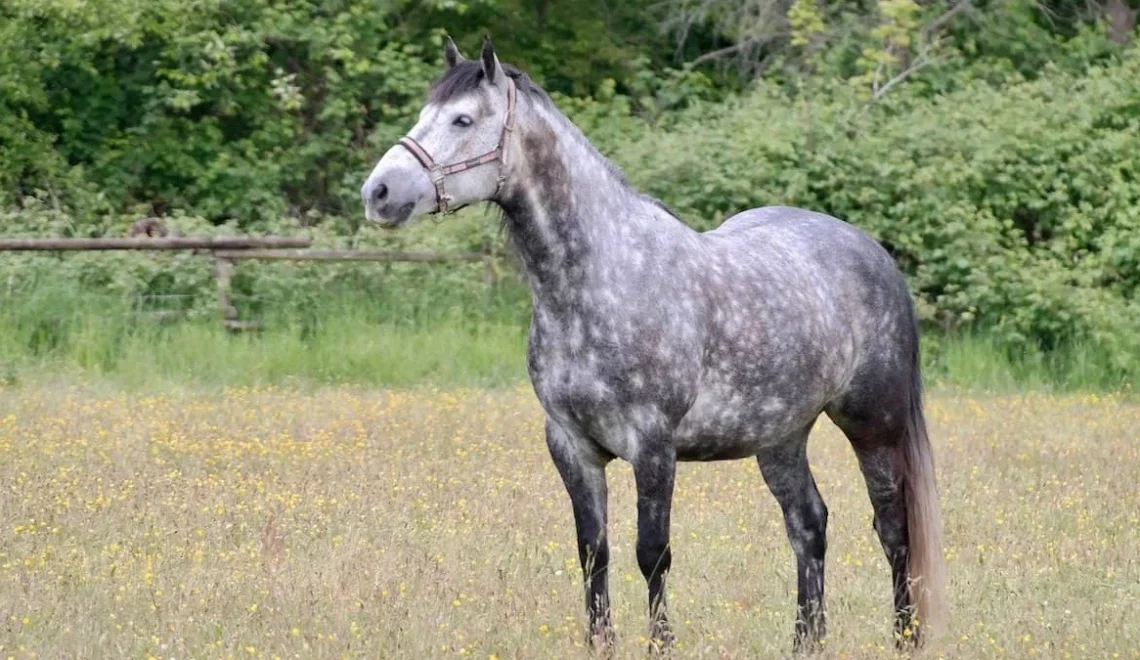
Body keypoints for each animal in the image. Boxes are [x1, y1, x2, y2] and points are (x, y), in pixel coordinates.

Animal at [360, 36, 948, 656]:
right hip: (782, 437)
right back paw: (806, 642)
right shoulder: (570, 445)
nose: (378, 193)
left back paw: (905, 638)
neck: (602, 278)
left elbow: (652, 554)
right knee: (808, 526)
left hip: (874, 427)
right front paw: (600, 643)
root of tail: (873, 253)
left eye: (463, 119)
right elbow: (593, 553)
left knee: (893, 530)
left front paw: (660, 644)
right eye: (424, 114)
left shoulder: (653, 446)